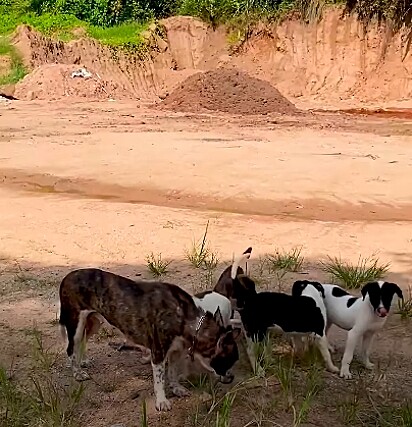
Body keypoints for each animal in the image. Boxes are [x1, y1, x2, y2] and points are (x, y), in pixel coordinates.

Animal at [59, 270, 243, 412]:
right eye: (229, 360)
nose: (232, 377)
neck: (190, 320)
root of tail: (67, 276)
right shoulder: (159, 353)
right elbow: (160, 380)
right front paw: (161, 401)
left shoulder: (176, 351)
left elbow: (172, 372)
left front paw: (176, 388)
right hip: (76, 323)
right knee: (70, 348)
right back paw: (77, 372)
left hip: (94, 322)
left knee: (82, 342)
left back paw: (83, 361)